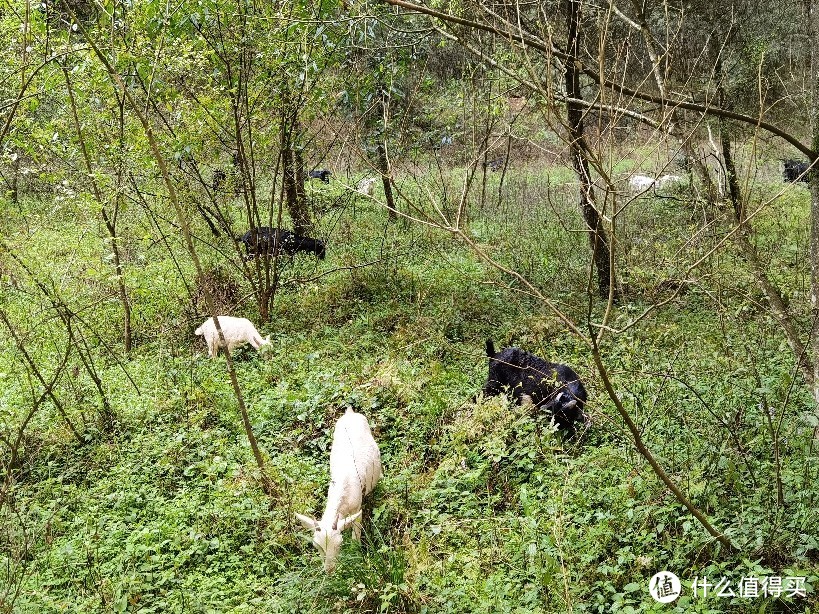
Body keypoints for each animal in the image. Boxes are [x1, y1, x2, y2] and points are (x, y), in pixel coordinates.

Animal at [296, 410, 382, 576]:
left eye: (339, 544)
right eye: (316, 546)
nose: (329, 570)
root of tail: (350, 411)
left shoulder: (357, 509)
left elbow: (356, 537)